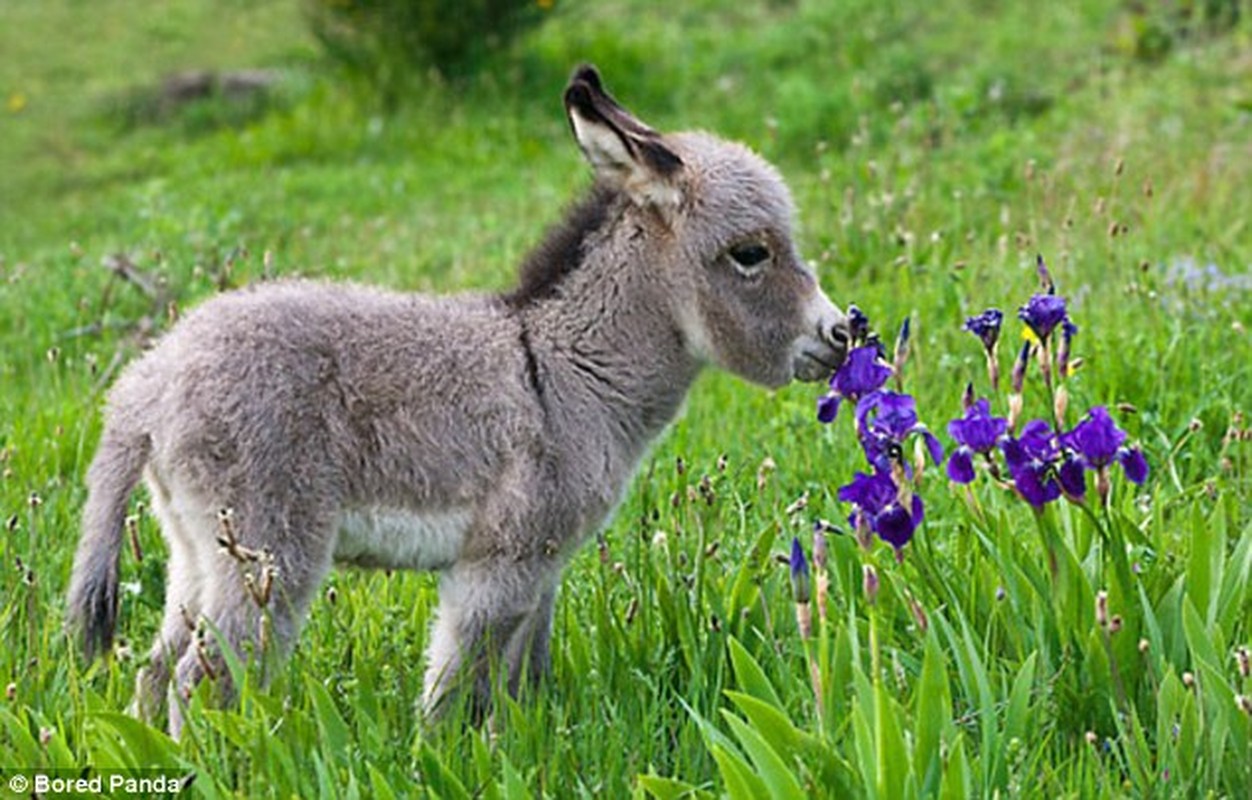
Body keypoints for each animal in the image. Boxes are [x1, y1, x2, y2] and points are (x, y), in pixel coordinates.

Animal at [66, 65, 851, 736]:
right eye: (750, 254)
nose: (844, 334)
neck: (563, 370)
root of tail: (148, 382)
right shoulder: (497, 566)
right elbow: (453, 692)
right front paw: (438, 759)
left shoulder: (542, 567)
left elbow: (521, 683)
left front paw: (519, 747)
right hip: (267, 550)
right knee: (200, 682)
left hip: (193, 548)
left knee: (155, 672)